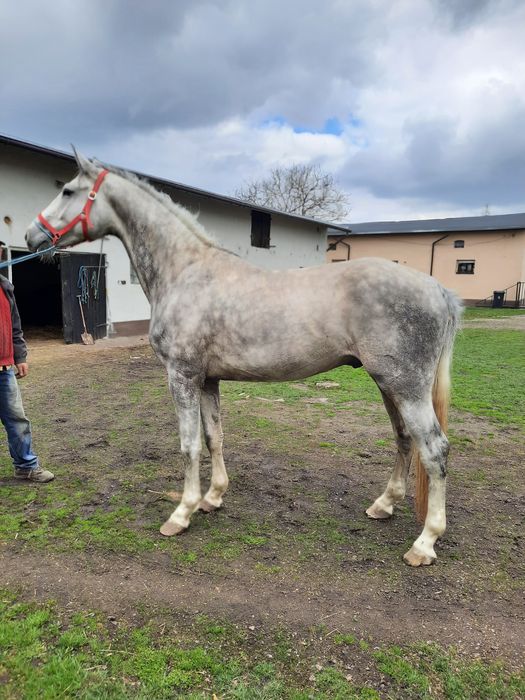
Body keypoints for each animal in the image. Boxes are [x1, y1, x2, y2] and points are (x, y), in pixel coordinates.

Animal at [25, 154, 458, 568]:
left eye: (67, 191)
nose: (32, 235)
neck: (184, 272)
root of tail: (437, 288)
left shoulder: (181, 375)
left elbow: (189, 444)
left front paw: (181, 513)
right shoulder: (207, 379)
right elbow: (214, 437)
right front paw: (212, 497)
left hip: (406, 387)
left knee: (434, 450)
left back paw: (425, 543)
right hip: (388, 384)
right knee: (404, 439)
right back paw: (383, 505)